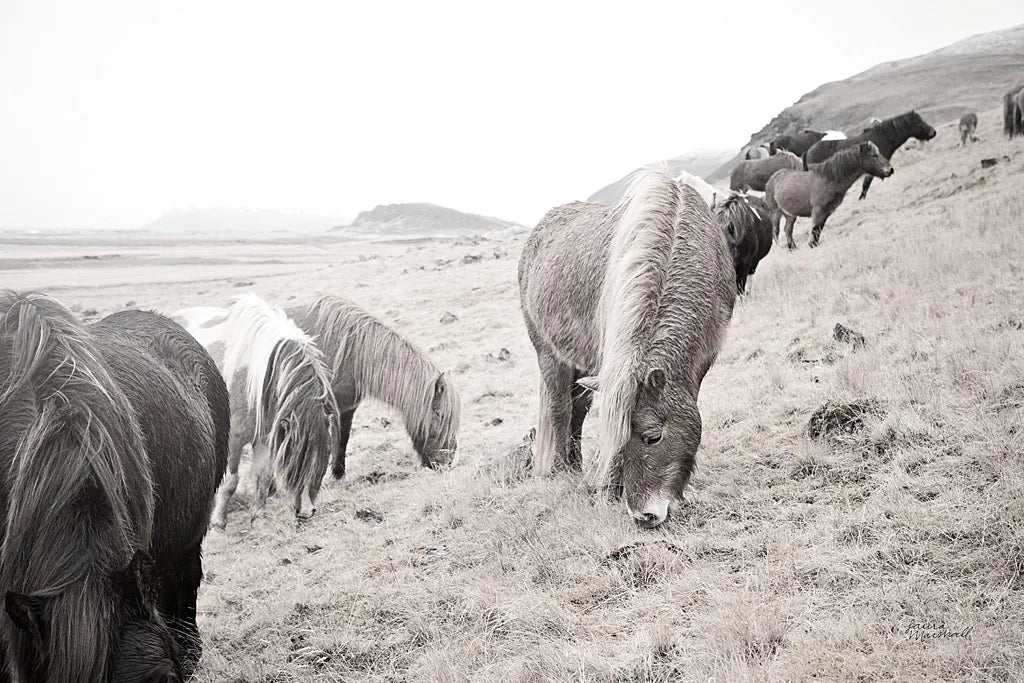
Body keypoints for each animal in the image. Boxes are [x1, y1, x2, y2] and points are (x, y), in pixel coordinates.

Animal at [175, 294, 339, 528]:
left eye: (324, 458)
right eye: (295, 459)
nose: (307, 512)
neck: (254, 376)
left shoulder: (263, 439)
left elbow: (263, 477)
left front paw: (259, 517)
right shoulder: (233, 440)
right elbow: (230, 481)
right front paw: (218, 522)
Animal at [289, 296, 461, 480]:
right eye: (439, 414)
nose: (447, 461)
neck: (351, 352)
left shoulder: (346, 408)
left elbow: (342, 439)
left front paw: (338, 474)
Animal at [518, 170, 736, 529]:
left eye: (653, 437)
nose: (645, 515)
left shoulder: (701, 363)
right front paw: (609, 488)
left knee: (578, 411)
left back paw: (577, 466)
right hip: (549, 355)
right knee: (560, 409)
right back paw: (564, 470)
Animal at [801, 110, 936, 199]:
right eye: (919, 123)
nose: (933, 132)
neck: (882, 137)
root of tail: (808, 151)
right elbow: (866, 186)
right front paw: (861, 199)